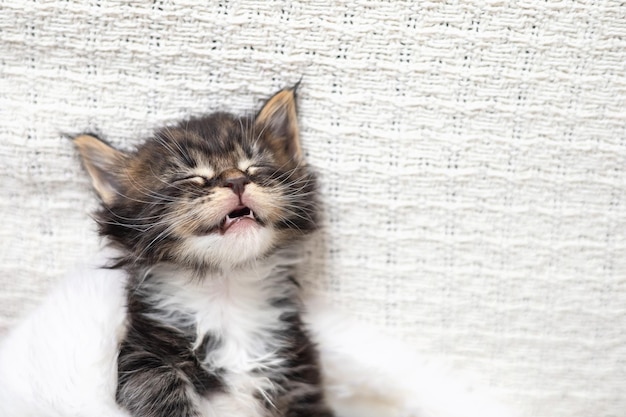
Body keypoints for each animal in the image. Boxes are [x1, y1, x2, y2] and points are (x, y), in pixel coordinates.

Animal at [73, 86, 332, 414]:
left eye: (254, 167)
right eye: (192, 177)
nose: (237, 180)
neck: (227, 291)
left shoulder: (299, 368)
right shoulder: (140, 356)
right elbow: (159, 393)